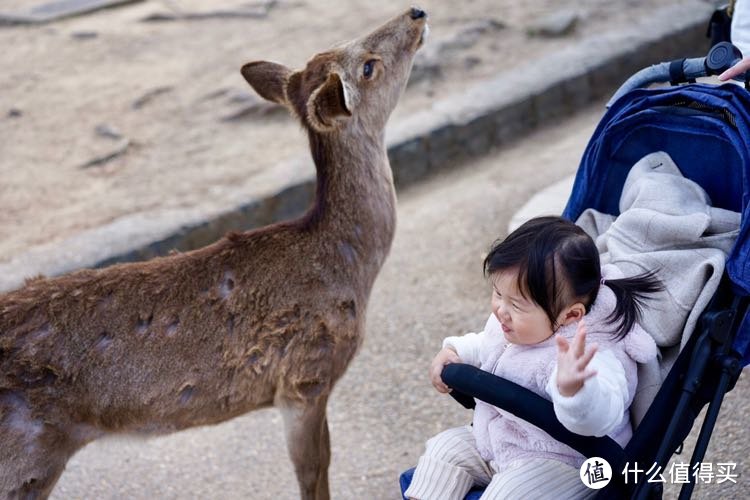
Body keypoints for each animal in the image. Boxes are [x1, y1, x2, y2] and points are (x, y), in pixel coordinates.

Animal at [0, 7, 428, 500]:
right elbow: (314, 470)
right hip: (25, 454)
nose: (416, 12)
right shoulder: (305, 376)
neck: (352, 268)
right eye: (368, 67)